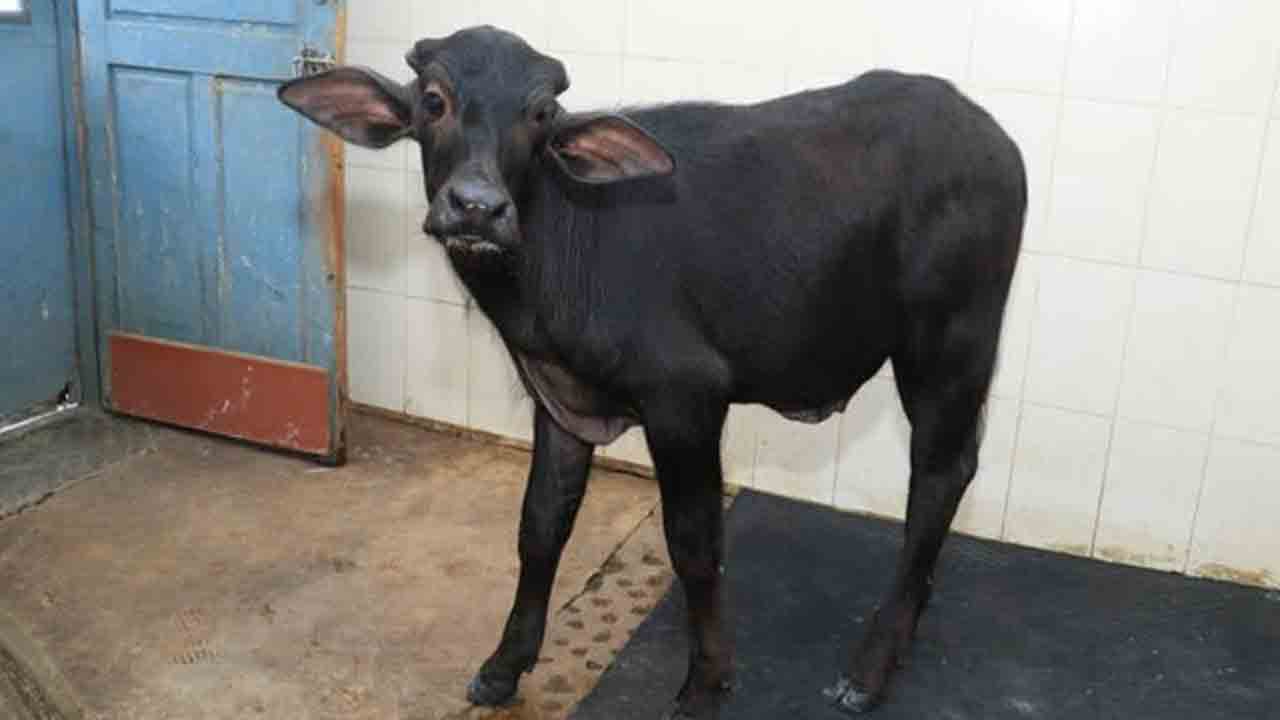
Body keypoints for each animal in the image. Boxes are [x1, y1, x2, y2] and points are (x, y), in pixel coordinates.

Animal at [279, 25, 1025, 718]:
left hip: (950, 346)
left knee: (939, 475)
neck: (560, 252)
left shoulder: (686, 401)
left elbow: (694, 542)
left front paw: (705, 684)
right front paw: (503, 664)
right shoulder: (560, 399)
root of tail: (990, 136)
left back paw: (871, 667)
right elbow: (540, 525)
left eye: (540, 113)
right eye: (434, 99)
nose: (477, 207)